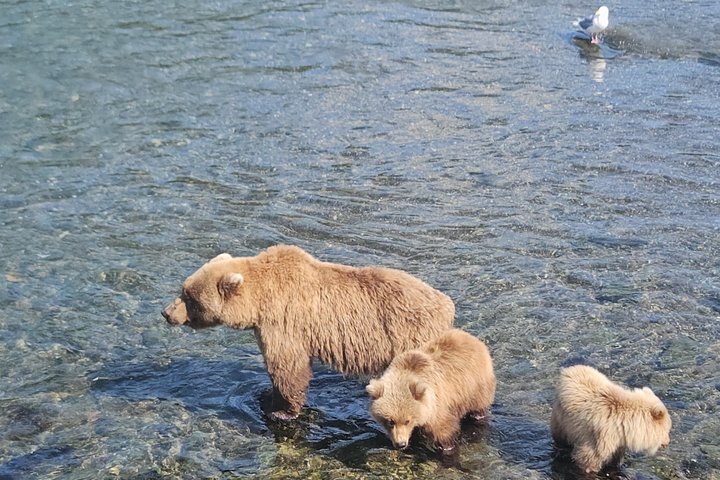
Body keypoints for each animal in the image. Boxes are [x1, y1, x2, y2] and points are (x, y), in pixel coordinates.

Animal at [162, 244, 454, 421]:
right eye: (184, 289)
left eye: (190, 298)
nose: (166, 312)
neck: (258, 301)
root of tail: (446, 303)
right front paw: (267, 397)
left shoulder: (283, 321)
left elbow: (287, 367)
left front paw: (282, 410)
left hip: (411, 337)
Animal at [366, 328, 495, 455]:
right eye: (390, 421)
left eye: (407, 420)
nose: (401, 444)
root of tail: (473, 339)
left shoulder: (438, 406)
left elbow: (444, 432)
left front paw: (447, 449)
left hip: (475, 387)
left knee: (478, 411)